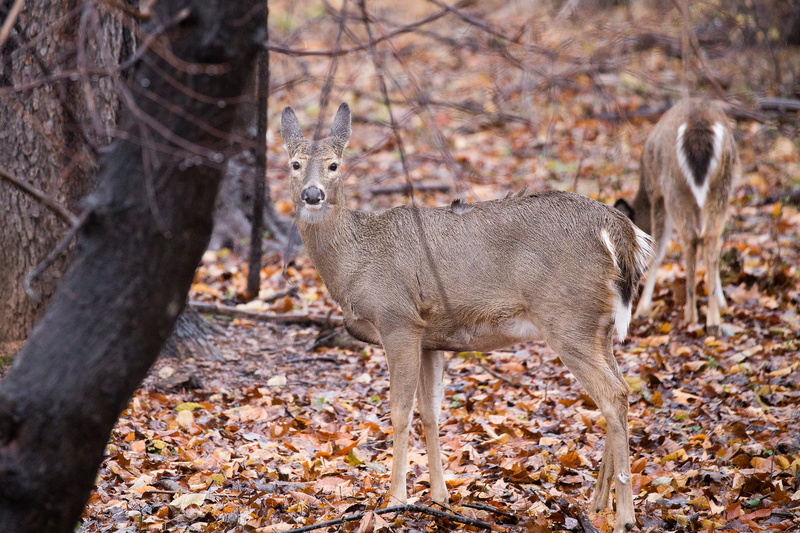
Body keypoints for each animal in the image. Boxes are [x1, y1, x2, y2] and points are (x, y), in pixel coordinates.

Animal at [281, 103, 654, 533]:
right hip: (599, 325)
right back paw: (597, 505)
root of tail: (620, 229)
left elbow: (399, 412)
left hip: (567, 316)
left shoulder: (398, 320)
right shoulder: (429, 337)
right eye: (294, 163)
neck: (355, 259)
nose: (312, 194)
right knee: (622, 390)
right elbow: (431, 412)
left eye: (334, 164)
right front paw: (439, 497)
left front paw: (396, 499)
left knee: (612, 394)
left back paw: (624, 515)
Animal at [615, 98, 739, 336]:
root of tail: (698, 123)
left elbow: (657, 248)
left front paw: (643, 309)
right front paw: (721, 302)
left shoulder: (656, 193)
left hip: (673, 185)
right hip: (722, 185)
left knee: (691, 238)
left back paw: (691, 315)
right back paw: (713, 320)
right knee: (709, 238)